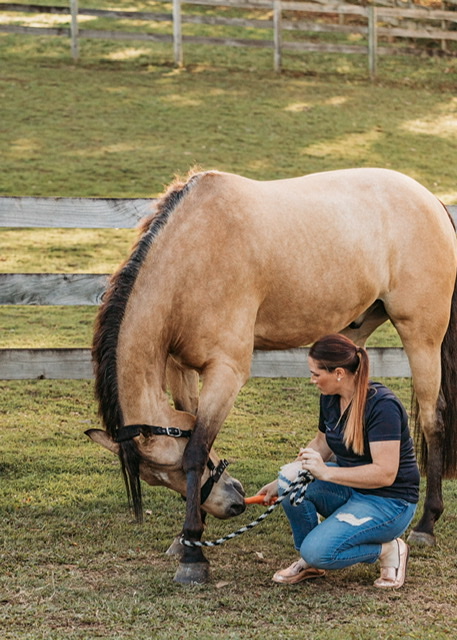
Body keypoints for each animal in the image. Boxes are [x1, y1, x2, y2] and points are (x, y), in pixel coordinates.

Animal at [85, 166, 456, 584]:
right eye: (159, 480)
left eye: (172, 468)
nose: (232, 503)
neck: (194, 252)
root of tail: (432, 201)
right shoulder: (182, 369)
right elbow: (198, 433)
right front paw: (187, 540)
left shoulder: (227, 371)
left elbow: (198, 449)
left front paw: (193, 556)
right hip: (357, 328)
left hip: (421, 335)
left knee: (433, 419)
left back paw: (426, 525)